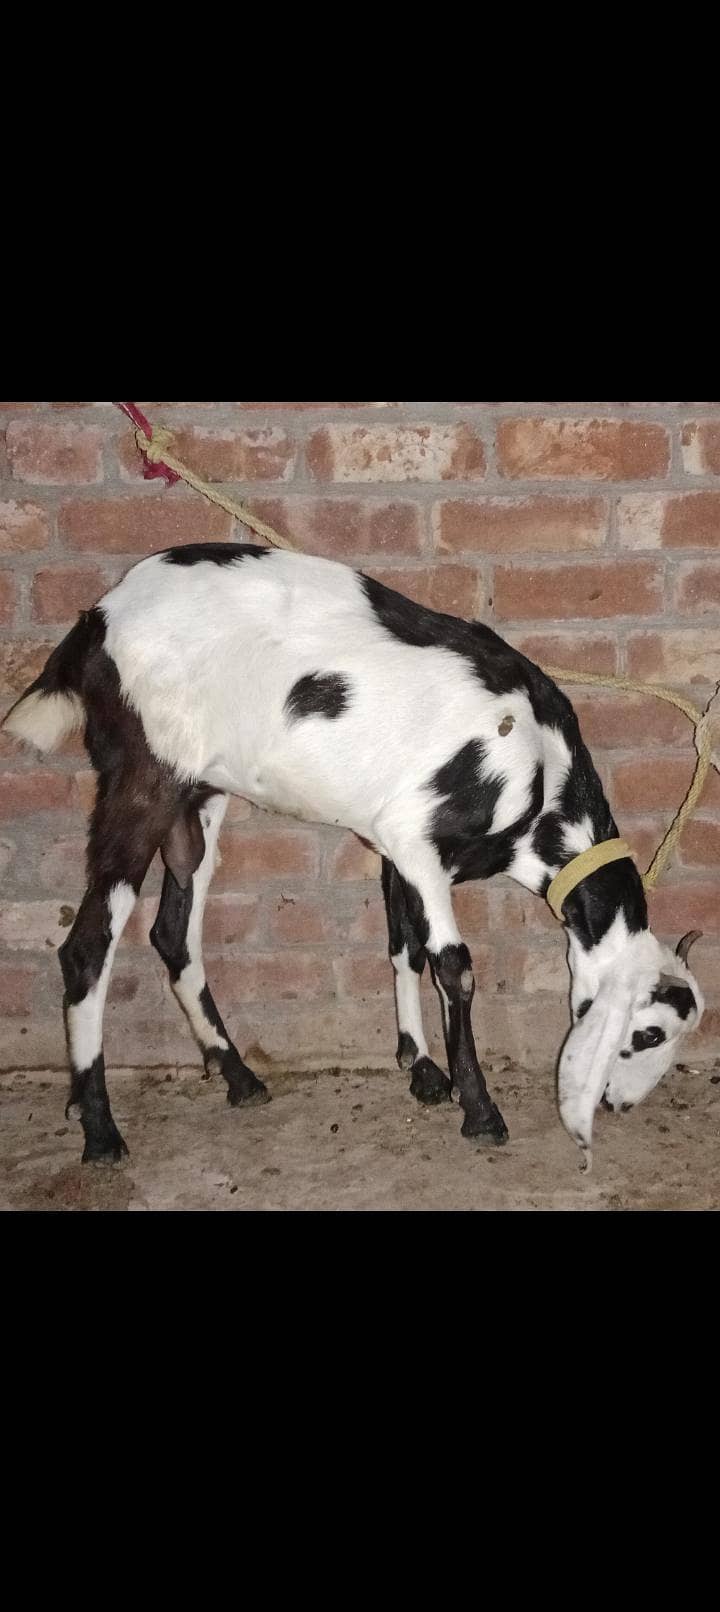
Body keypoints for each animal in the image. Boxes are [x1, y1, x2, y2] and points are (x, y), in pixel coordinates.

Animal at [1, 543, 705, 1167]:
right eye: (648, 1033)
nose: (618, 1104)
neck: (540, 768)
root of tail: (98, 620)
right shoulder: (418, 836)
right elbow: (454, 966)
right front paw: (479, 1111)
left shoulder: (395, 844)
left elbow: (404, 946)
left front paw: (421, 1069)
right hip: (143, 784)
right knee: (87, 946)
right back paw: (100, 1132)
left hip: (197, 800)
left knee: (174, 933)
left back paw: (237, 1077)